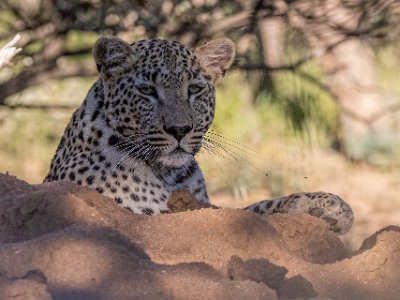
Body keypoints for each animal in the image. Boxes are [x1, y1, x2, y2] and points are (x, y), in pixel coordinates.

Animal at [45, 37, 354, 234]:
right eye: (147, 91)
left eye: (193, 89)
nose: (179, 129)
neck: (169, 173)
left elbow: (255, 209)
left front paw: (329, 205)